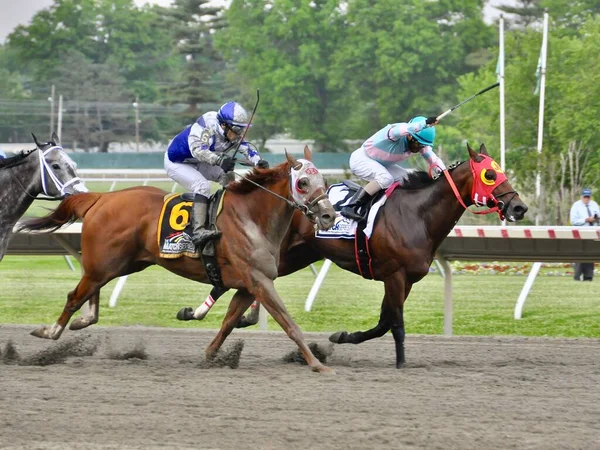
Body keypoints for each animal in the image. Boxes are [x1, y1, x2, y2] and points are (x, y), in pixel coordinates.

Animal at [18, 148, 338, 372]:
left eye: (324, 180)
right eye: (303, 182)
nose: (328, 215)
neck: (251, 217)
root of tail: (102, 198)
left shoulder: (249, 285)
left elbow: (228, 322)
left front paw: (210, 356)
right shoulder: (259, 281)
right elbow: (288, 323)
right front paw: (317, 364)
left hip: (117, 264)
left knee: (89, 294)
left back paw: (81, 321)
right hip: (104, 264)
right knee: (74, 296)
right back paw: (49, 331)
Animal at [180, 144, 528, 370]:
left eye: (501, 171)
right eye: (489, 175)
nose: (519, 206)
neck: (418, 214)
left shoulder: (406, 280)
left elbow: (384, 322)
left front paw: (344, 336)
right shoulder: (395, 275)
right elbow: (395, 323)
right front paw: (401, 364)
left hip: (295, 255)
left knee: (242, 285)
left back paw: (215, 314)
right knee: (240, 281)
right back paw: (202, 312)